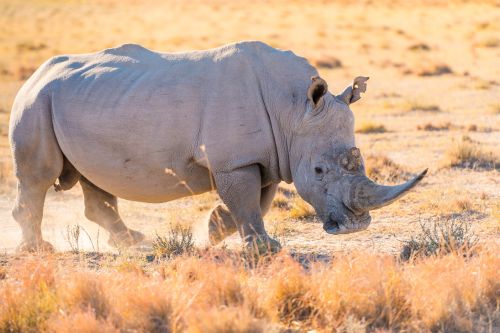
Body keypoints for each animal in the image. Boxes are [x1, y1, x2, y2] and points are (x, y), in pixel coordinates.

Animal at [8, 41, 426, 252]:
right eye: (319, 171)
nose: (355, 227)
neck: (293, 110)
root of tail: (35, 74)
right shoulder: (235, 161)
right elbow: (248, 201)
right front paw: (266, 249)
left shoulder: (265, 157)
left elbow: (258, 200)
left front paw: (214, 231)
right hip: (36, 101)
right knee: (39, 177)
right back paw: (39, 250)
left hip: (78, 101)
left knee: (95, 178)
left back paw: (132, 242)